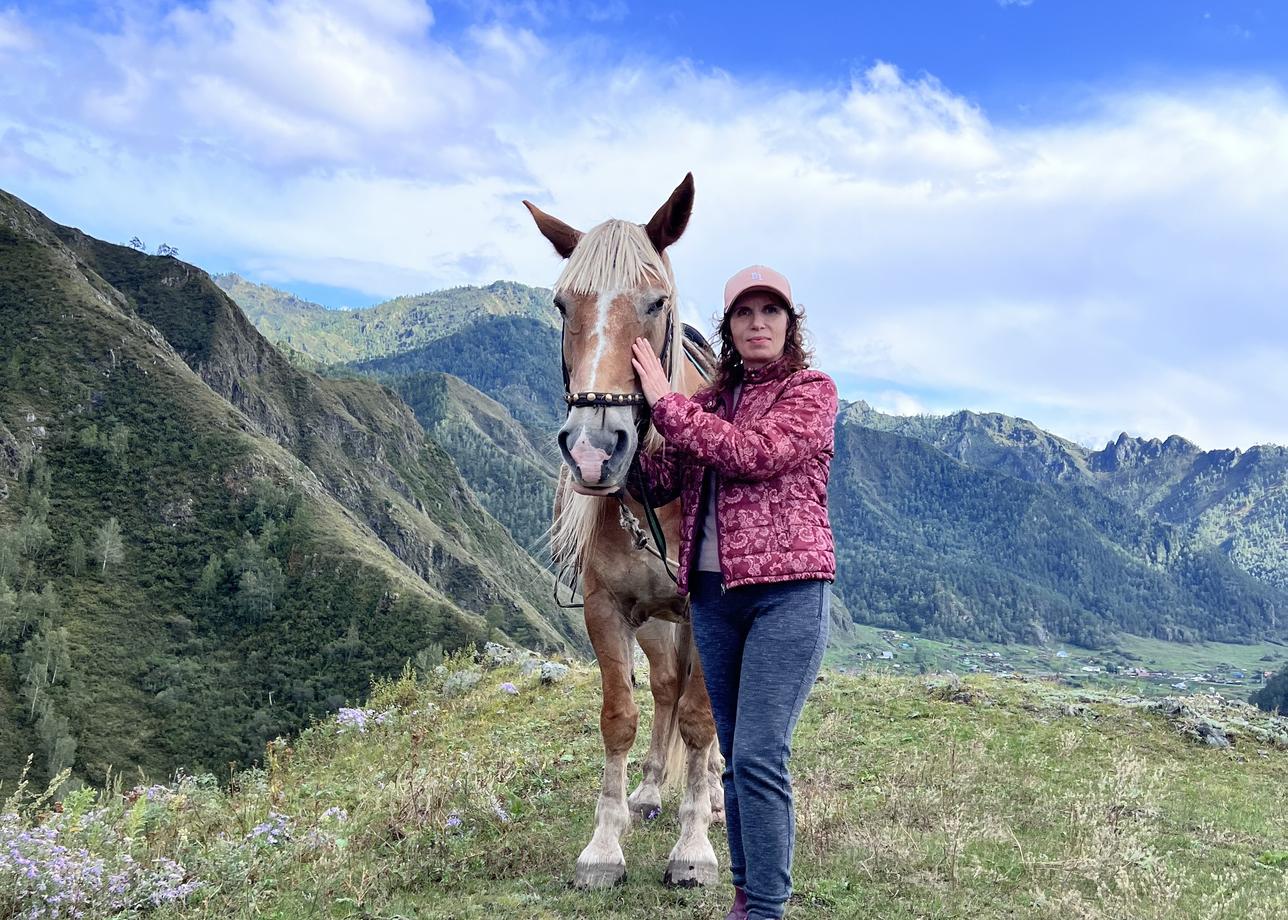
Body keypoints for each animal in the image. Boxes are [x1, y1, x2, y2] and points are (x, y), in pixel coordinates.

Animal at [522, 173, 726, 886]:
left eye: (655, 302)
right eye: (562, 304)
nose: (592, 450)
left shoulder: (707, 612)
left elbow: (700, 717)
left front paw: (694, 847)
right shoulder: (608, 608)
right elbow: (620, 716)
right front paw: (605, 844)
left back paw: (712, 797)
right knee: (664, 688)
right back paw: (652, 790)